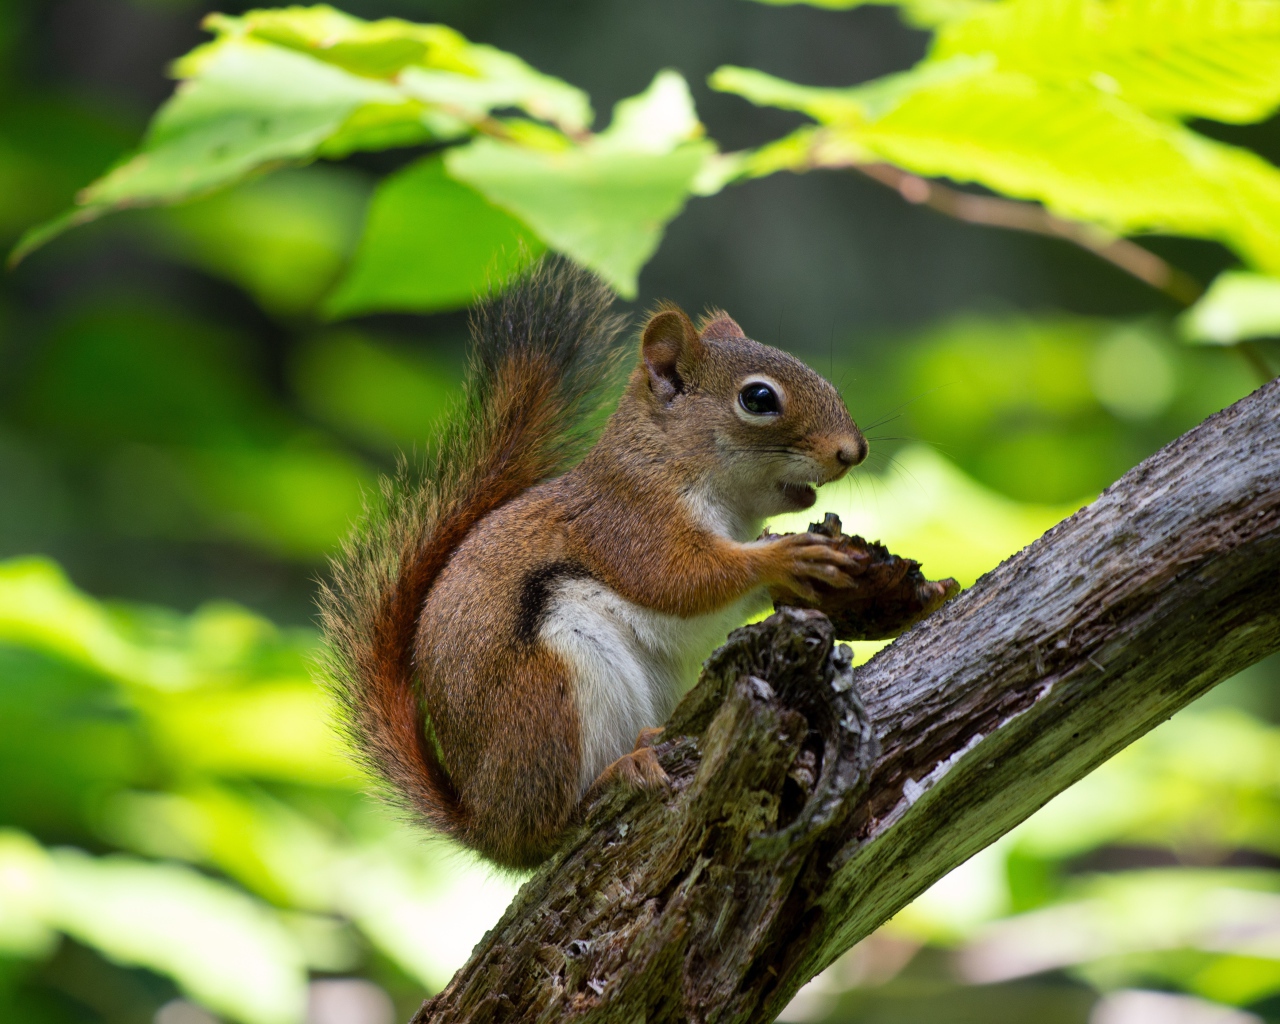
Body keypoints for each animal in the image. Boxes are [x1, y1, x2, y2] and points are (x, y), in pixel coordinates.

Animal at [317, 259, 870, 870]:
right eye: (758, 399)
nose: (853, 451)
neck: (666, 460)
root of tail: (488, 826)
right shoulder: (628, 523)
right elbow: (681, 580)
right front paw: (785, 555)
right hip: (550, 693)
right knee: (554, 821)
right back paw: (618, 772)